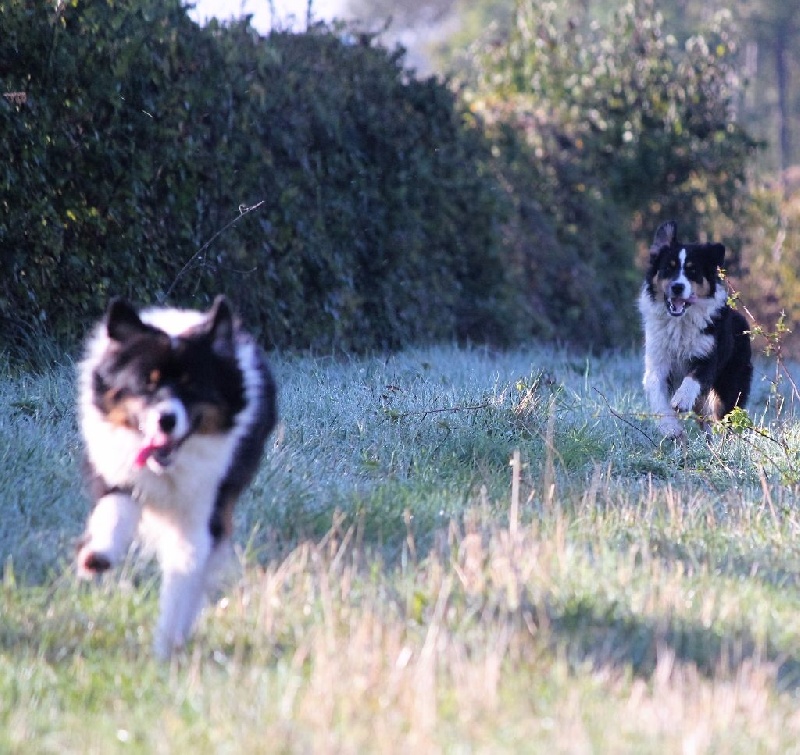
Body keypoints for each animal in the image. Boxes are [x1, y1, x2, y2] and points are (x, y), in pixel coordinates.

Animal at [77, 296, 278, 660]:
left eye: (192, 386)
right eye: (146, 383)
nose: (166, 420)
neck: (169, 468)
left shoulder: (205, 505)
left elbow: (185, 570)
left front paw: (167, 646)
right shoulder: (119, 475)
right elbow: (114, 512)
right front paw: (97, 556)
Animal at [636, 221, 752, 440]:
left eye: (692, 271)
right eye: (668, 268)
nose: (677, 287)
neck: (679, 323)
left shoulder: (709, 354)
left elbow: (694, 377)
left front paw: (681, 400)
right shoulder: (657, 360)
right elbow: (658, 395)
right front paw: (670, 427)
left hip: (729, 386)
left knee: (722, 418)